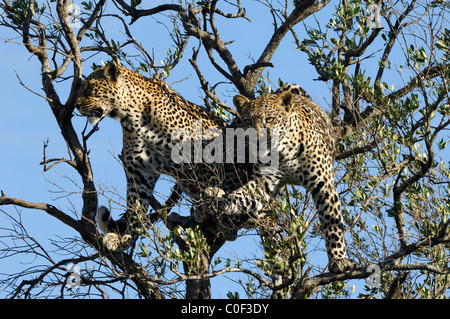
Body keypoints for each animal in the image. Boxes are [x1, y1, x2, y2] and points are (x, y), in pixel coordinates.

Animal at [199, 86, 356, 274]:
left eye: (270, 119)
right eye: (248, 121)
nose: (256, 140)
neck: (284, 152)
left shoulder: (324, 185)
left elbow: (332, 223)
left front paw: (339, 260)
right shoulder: (264, 183)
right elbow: (241, 194)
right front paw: (223, 202)